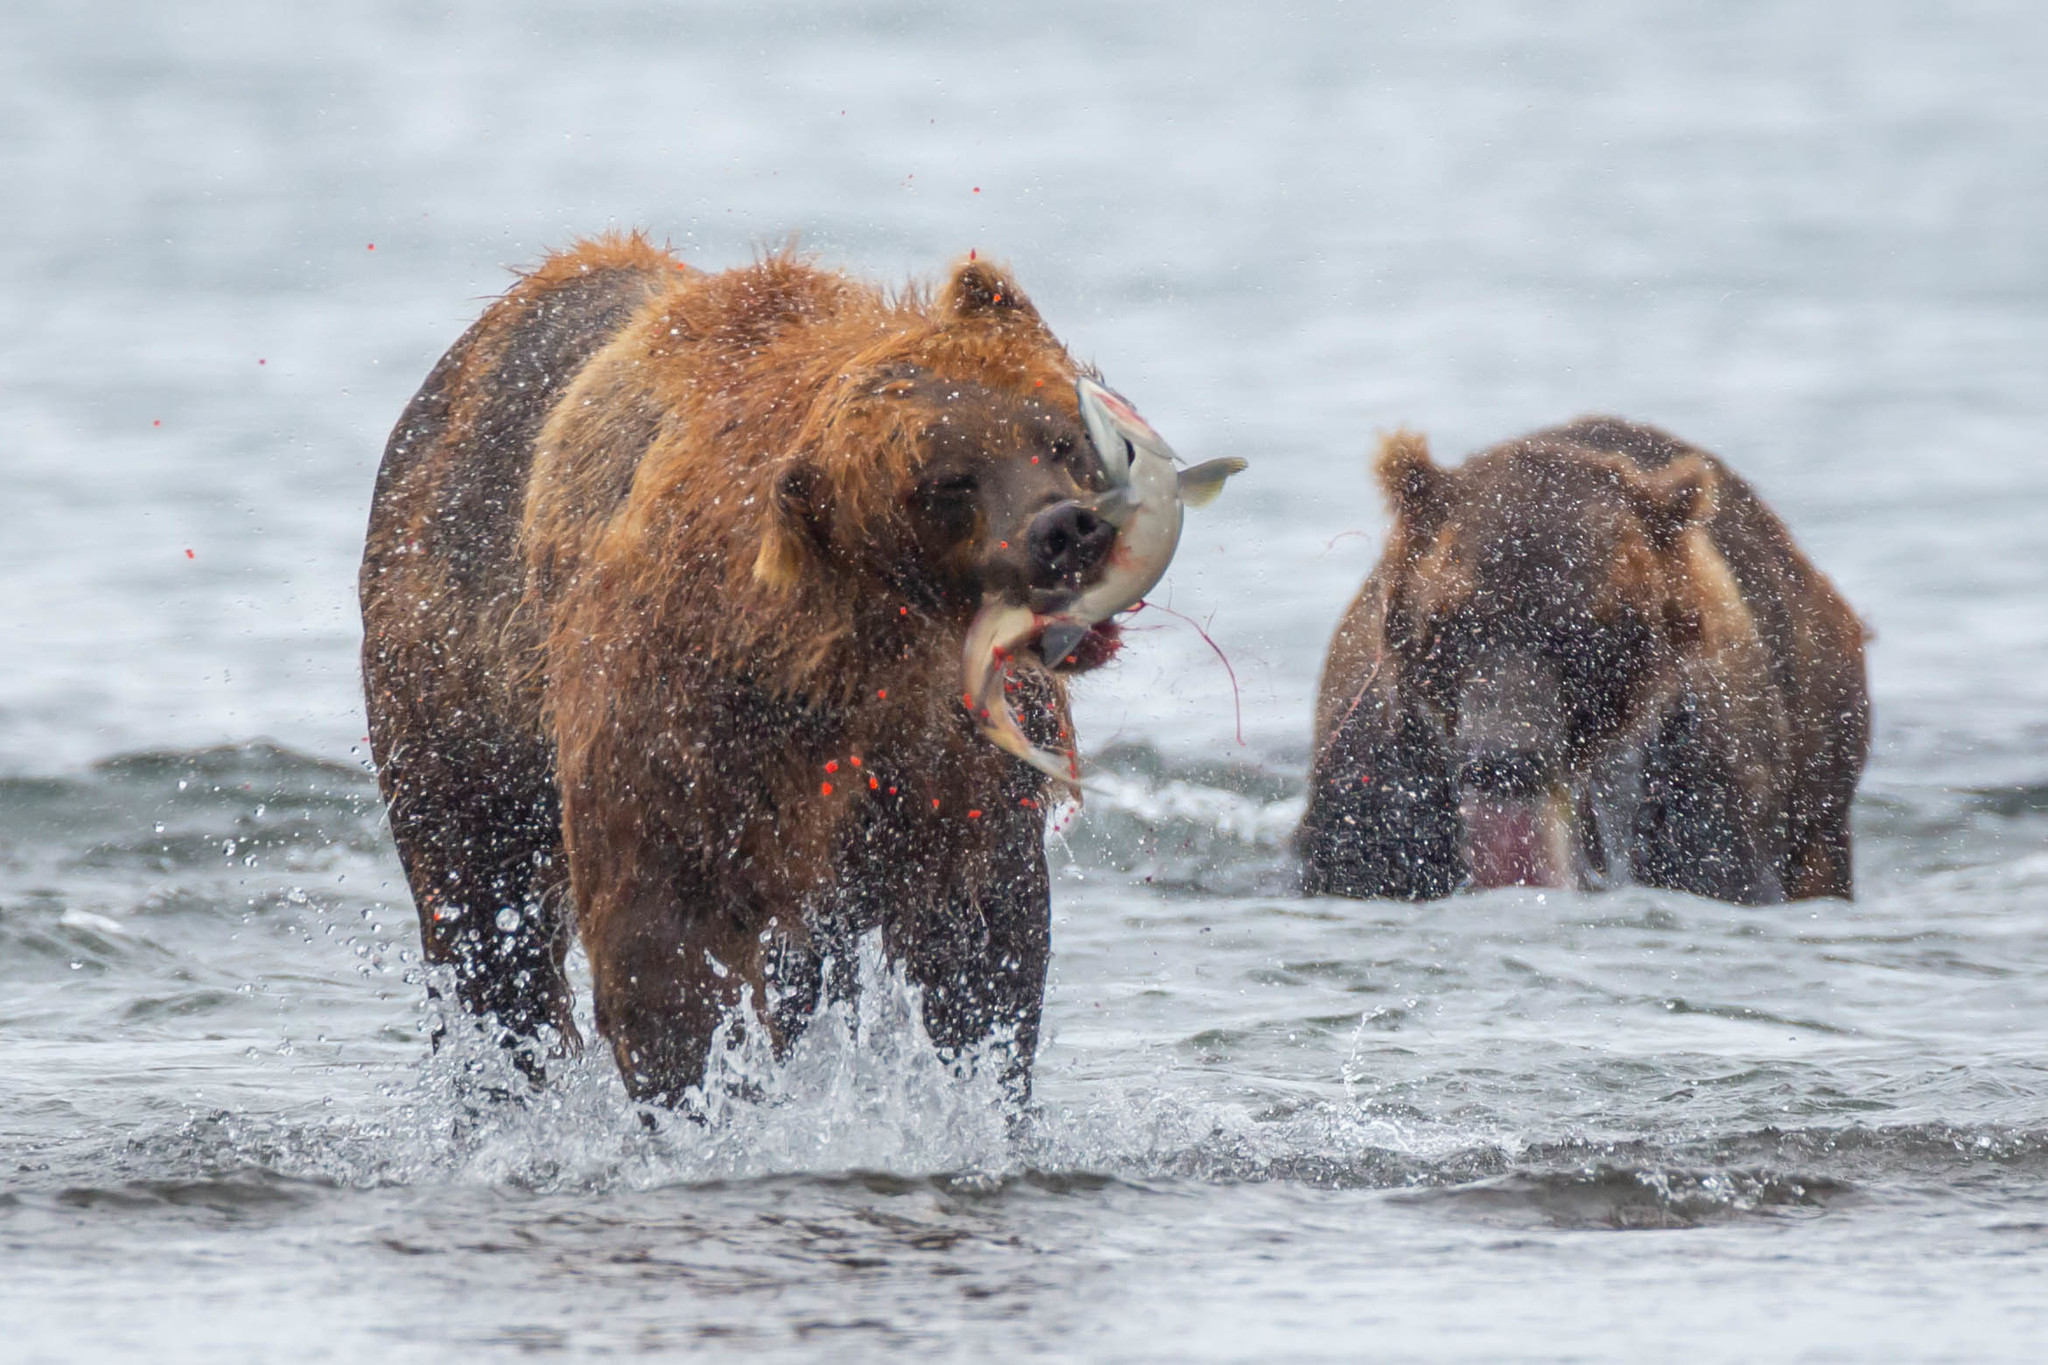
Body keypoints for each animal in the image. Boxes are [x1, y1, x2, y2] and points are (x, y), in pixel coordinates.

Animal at [362, 232, 1236, 1113]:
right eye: (946, 480)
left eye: (1057, 436)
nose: (1065, 528)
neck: (853, 653)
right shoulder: (681, 720)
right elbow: (661, 950)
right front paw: (706, 1106)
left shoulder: (939, 765)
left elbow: (982, 946)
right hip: (452, 677)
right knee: (485, 924)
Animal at [1294, 417, 1875, 908]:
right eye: (1450, 622)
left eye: (1581, 637)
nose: (1506, 758)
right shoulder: (1382, 784)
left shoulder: (1698, 775)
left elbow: (1713, 864)